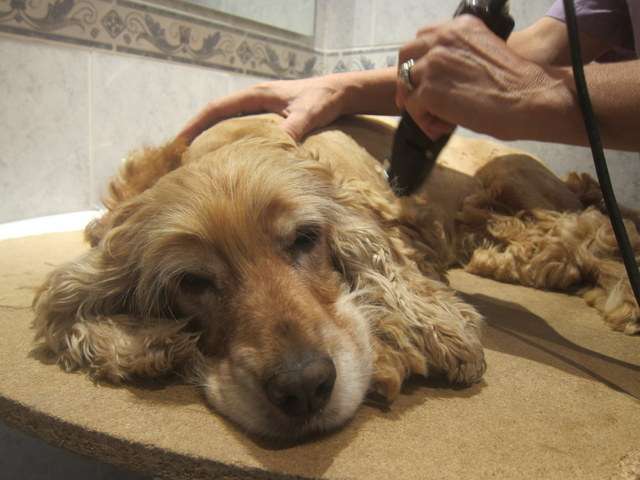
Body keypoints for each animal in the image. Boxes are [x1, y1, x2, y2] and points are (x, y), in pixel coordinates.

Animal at [31, 114, 640, 436]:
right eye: (193, 283)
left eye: (304, 239)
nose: (303, 388)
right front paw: (146, 342)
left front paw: (418, 334)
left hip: (514, 179)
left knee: (591, 230)